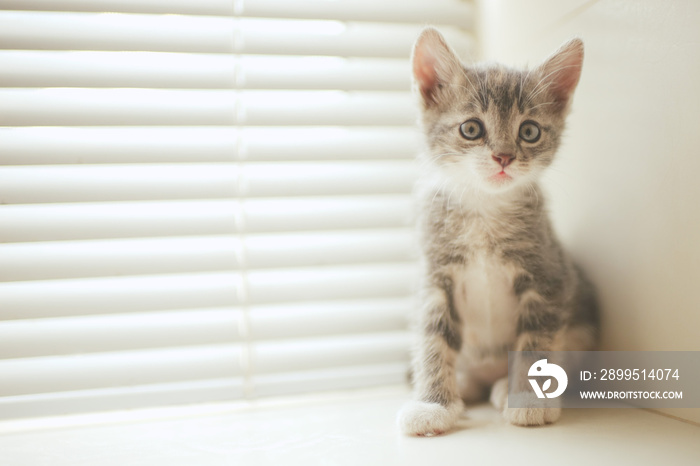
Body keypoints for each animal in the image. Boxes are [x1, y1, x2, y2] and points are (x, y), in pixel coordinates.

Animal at [396, 30, 600, 436]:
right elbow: (432, 339)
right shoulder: (434, 278)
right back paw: (463, 384)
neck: (484, 210)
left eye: (529, 131)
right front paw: (432, 405)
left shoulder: (548, 277)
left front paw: (528, 401)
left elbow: (535, 342)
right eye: (471, 128)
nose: (504, 157)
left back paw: (505, 386)